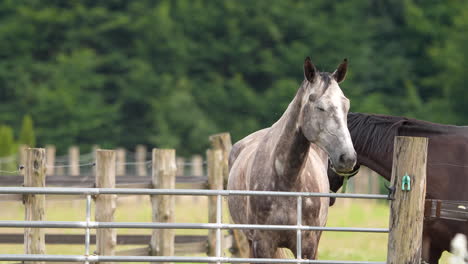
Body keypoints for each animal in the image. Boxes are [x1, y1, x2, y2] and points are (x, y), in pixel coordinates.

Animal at [227, 56, 354, 260]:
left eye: (346, 105)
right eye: (320, 107)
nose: (347, 157)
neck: (287, 179)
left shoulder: (308, 246)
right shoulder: (263, 244)